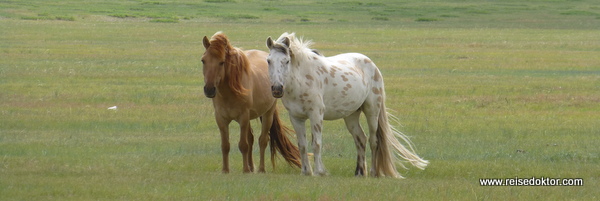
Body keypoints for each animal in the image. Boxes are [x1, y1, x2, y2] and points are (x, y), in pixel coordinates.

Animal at [202, 31, 302, 173]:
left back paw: (260, 169)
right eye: (203, 61)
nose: (209, 89)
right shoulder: (221, 119)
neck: (230, 92)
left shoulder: (243, 117)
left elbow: (243, 145)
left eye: (222, 62)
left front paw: (245, 170)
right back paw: (251, 166)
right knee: (251, 138)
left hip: (267, 114)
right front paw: (226, 170)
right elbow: (226, 145)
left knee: (262, 140)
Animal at [266, 31, 426, 177]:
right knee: (360, 139)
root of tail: (372, 64)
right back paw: (359, 172)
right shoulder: (296, 118)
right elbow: (302, 145)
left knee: (374, 141)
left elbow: (316, 144)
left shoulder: (316, 114)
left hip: (372, 111)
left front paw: (319, 172)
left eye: (286, 61)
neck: (302, 79)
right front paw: (306, 172)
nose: (277, 89)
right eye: (268, 61)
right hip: (351, 115)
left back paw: (373, 172)